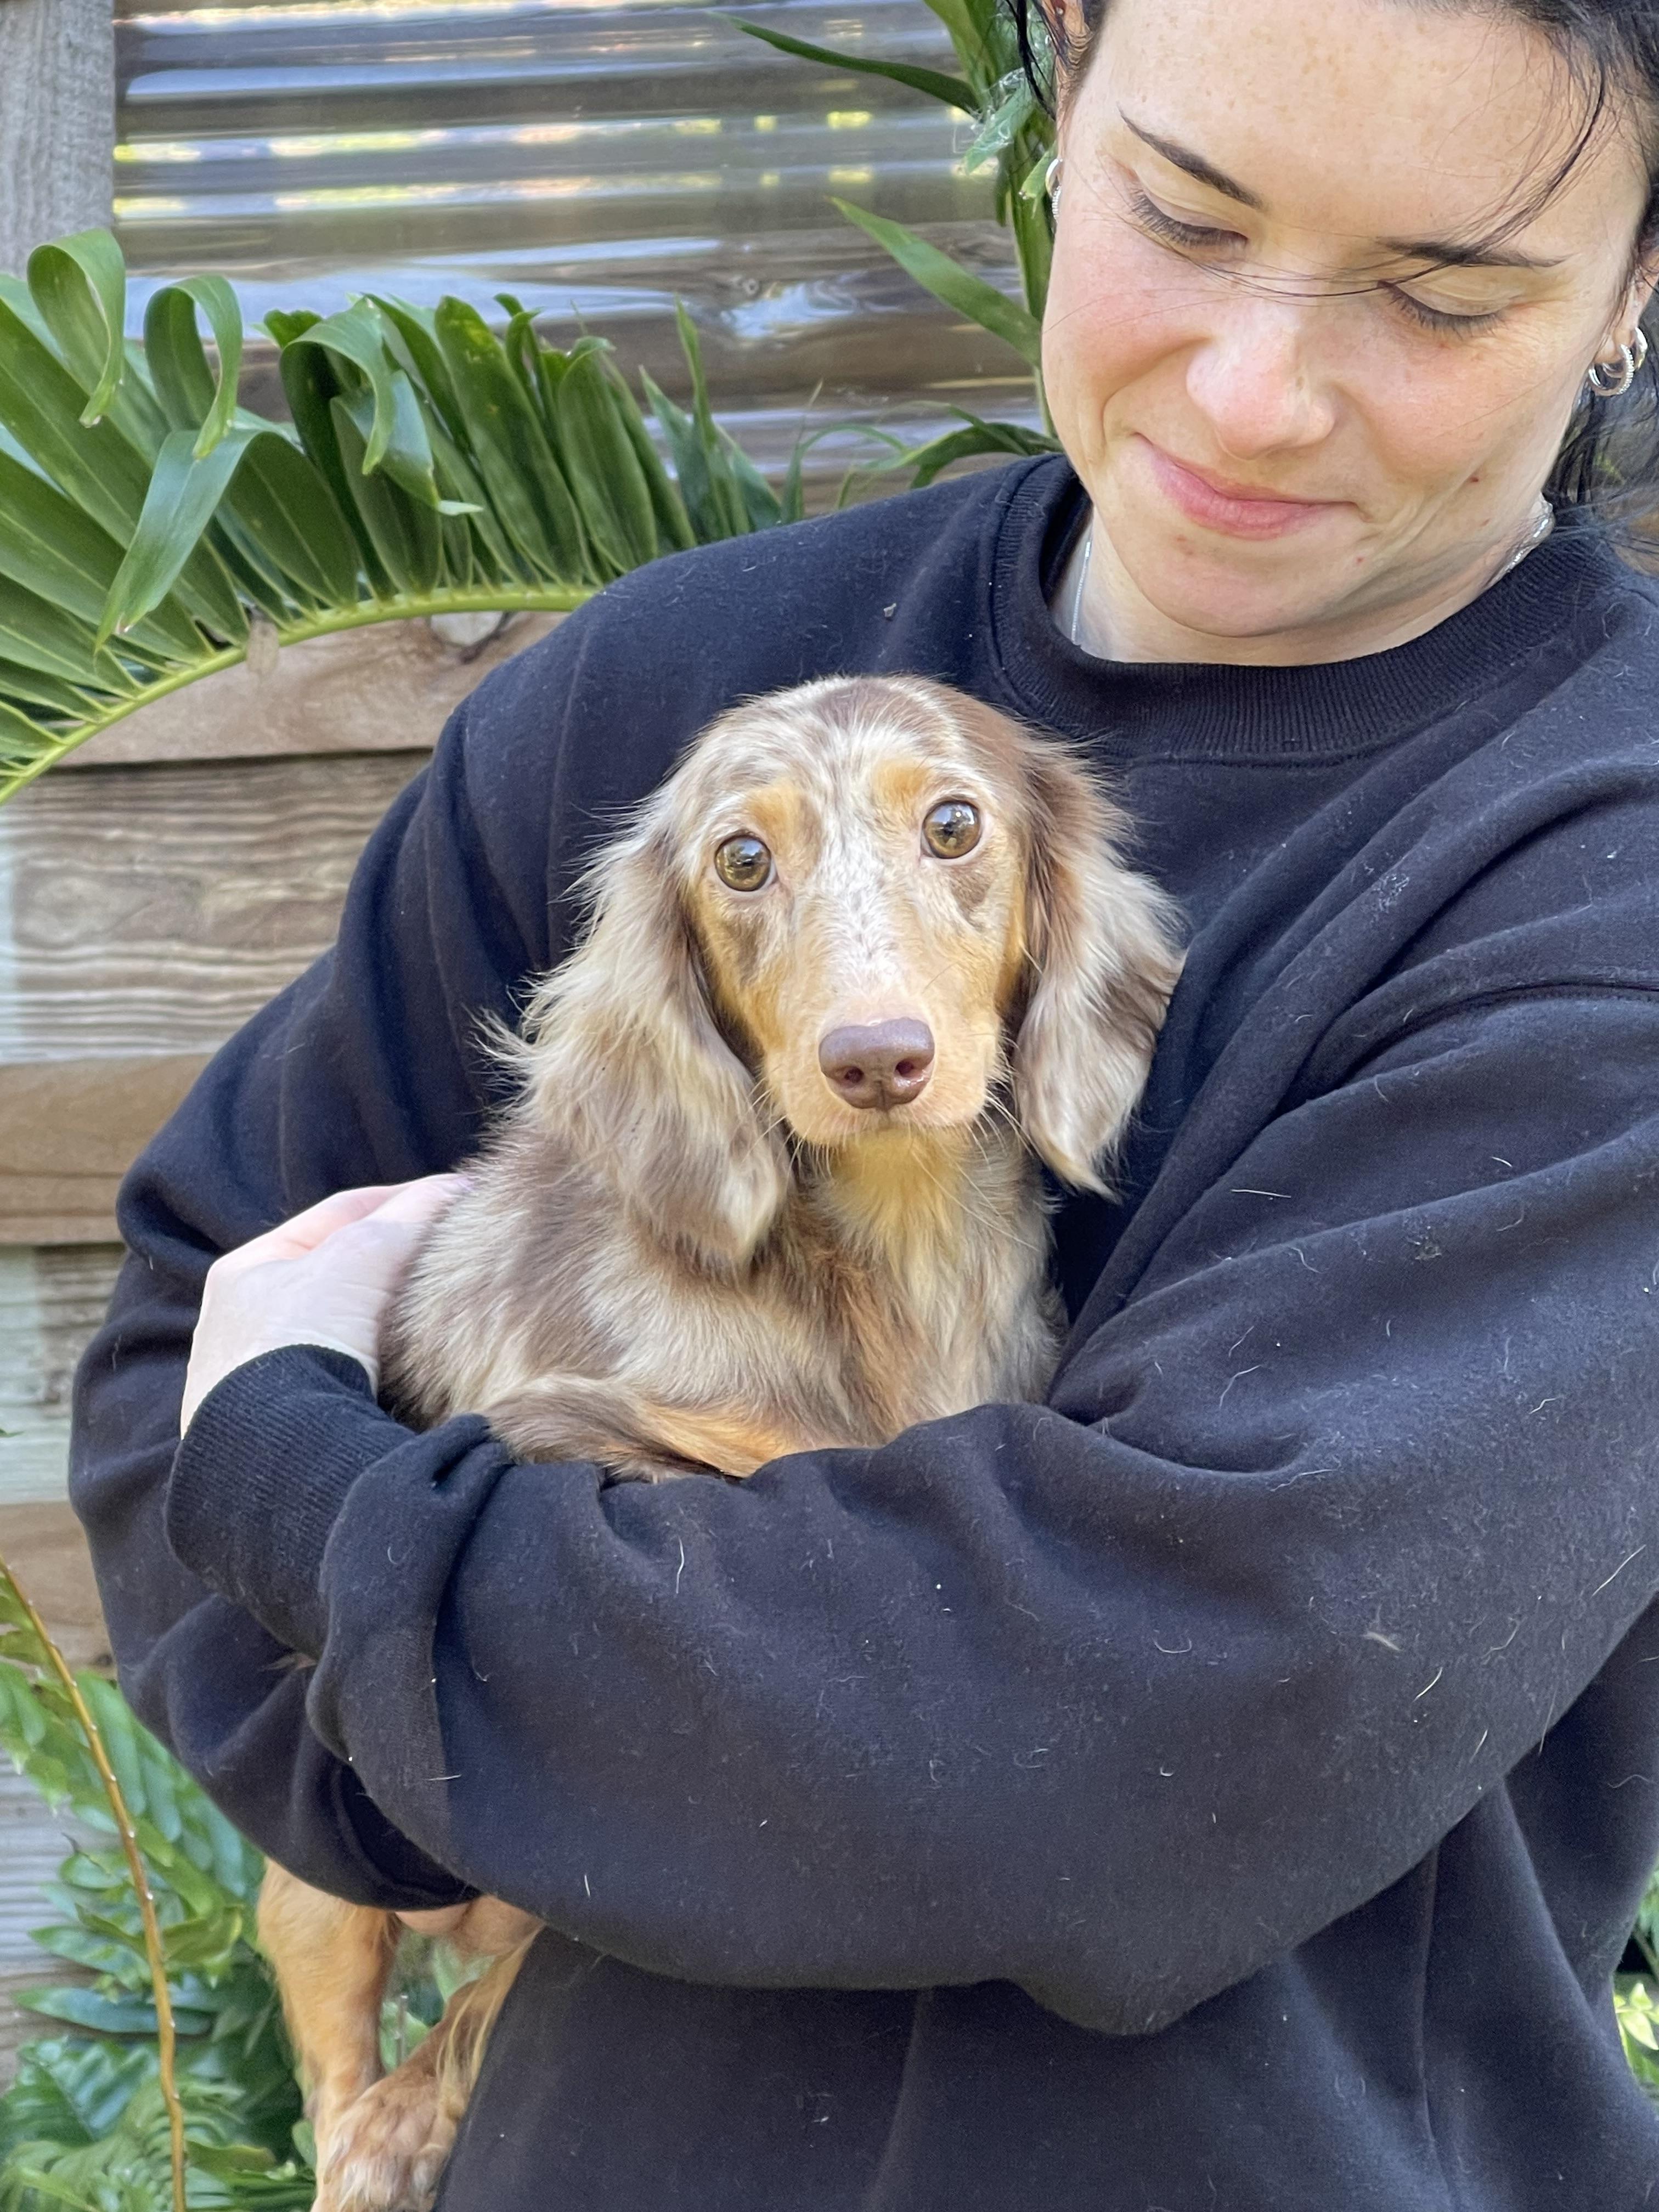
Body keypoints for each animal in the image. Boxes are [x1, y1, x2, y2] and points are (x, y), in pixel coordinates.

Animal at [256, 674, 1186, 2211]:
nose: (876, 1062)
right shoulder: (553, 1427)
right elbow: (740, 1464)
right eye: (741, 859)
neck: (888, 1260)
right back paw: (385, 2127)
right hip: (313, 1904)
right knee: (338, 2071)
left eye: (954, 825)